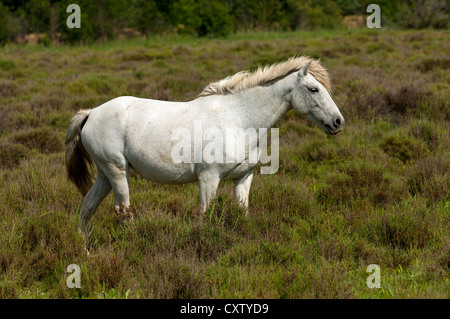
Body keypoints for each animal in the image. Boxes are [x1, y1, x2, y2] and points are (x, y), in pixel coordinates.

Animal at [64, 55, 344, 238]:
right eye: (314, 89)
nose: (338, 122)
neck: (238, 119)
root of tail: (91, 113)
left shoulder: (244, 177)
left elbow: (242, 212)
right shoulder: (209, 178)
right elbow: (204, 215)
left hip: (105, 174)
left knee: (88, 207)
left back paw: (85, 250)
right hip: (118, 172)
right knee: (123, 212)